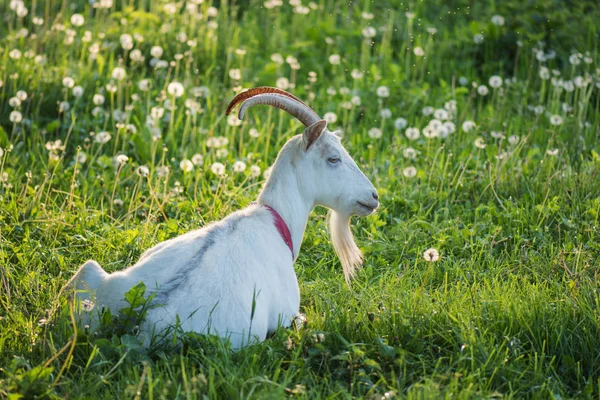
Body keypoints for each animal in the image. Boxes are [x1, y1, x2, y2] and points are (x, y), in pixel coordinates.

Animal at [68, 86, 378, 346]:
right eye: (334, 158)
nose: (373, 197)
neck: (275, 221)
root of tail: (140, 315)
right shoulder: (288, 312)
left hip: (90, 273)